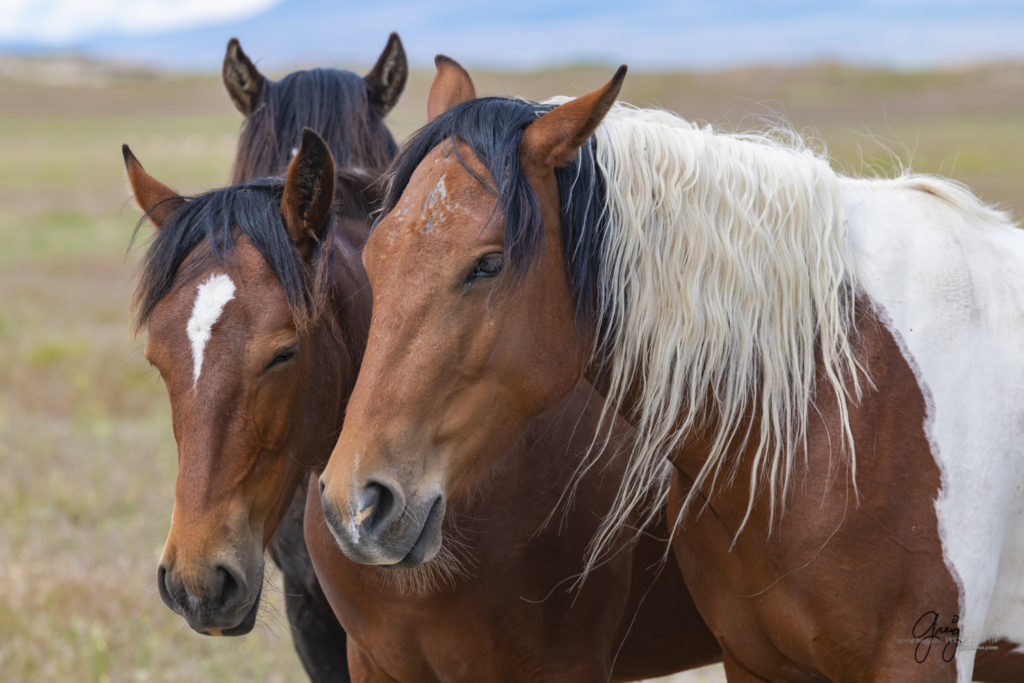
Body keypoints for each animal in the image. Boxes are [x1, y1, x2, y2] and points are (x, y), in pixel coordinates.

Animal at [319, 58, 1024, 683]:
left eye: (487, 264)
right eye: (374, 254)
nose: (355, 505)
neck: (841, 406)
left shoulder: (915, 661)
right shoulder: (756, 662)